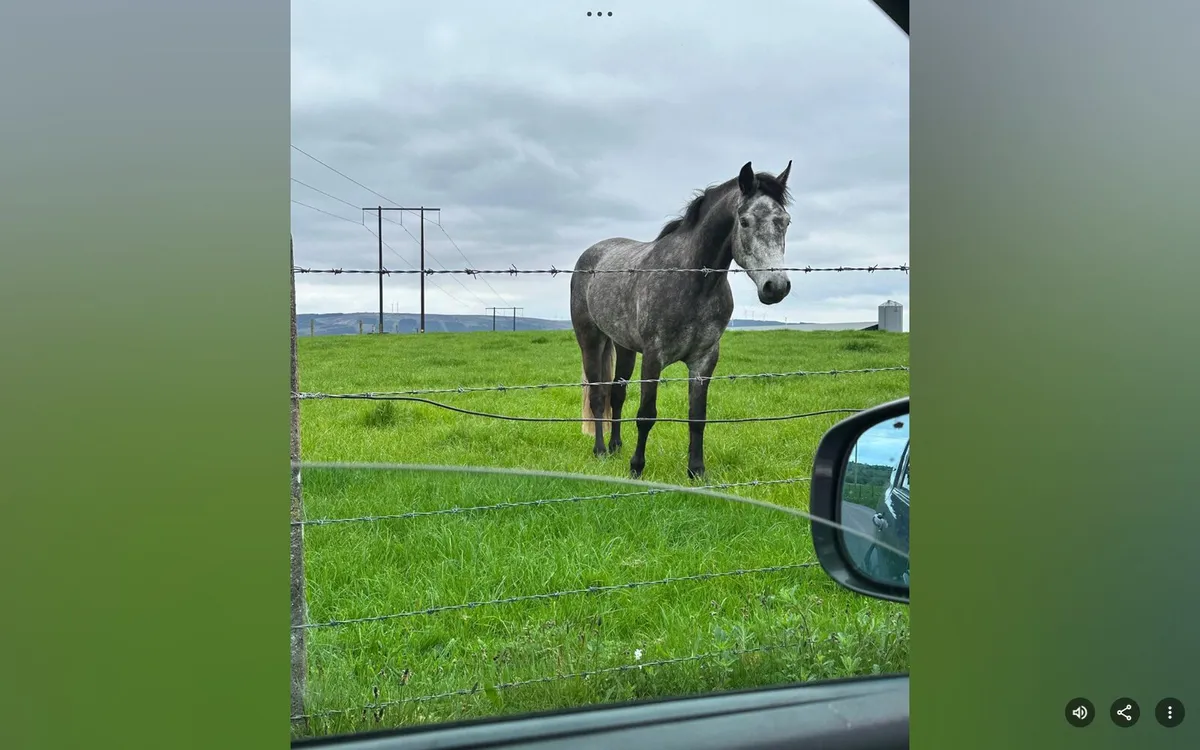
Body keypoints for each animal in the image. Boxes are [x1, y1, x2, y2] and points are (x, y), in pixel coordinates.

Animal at [569, 160, 794, 480]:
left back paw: (615, 447)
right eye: (745, 221)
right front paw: (637, 468)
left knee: (617, 394)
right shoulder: (654, 356)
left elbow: (697, 416)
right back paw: (600, 450)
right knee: (599, 396)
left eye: (785, 221)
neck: (694, 283)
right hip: (590, 340)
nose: (776, 287)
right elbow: (646, 414)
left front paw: (696, 471)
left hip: (623, 346)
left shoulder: (704, 359)